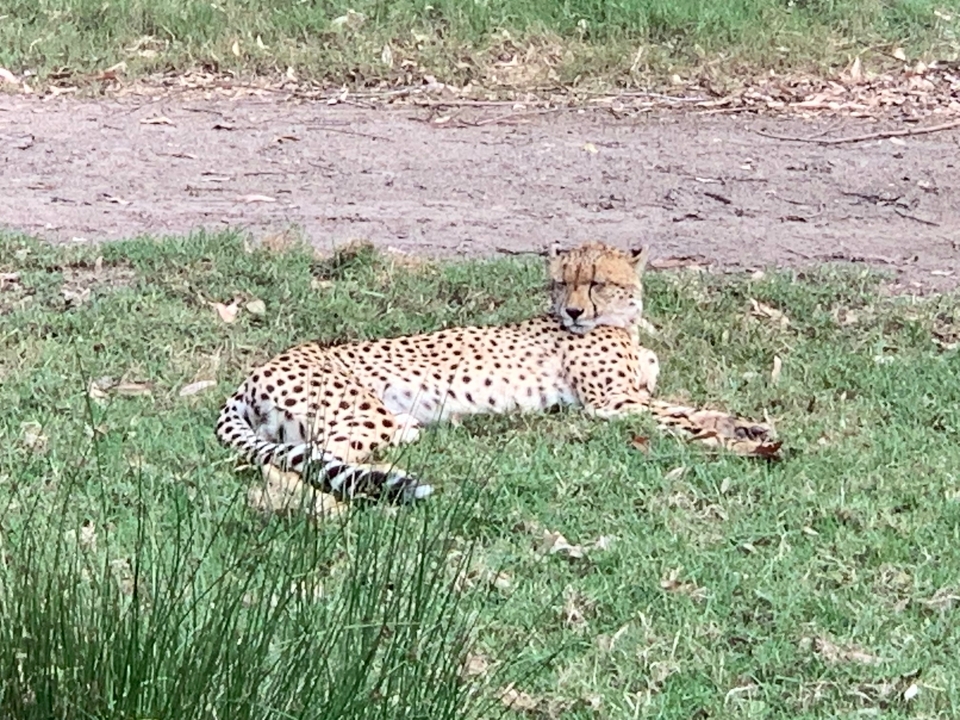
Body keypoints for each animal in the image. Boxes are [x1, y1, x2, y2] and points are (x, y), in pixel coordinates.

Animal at [216, 241, 774, 503]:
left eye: (595, 281)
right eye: (561, 282)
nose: (574, 312)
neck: (623, 324)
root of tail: (253, 373)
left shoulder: (632, 395)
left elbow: (697, 409)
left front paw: (751, 428)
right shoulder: (613, 403)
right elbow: (684, 419)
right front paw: (736, 443)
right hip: (369, 416)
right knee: (308, 457)